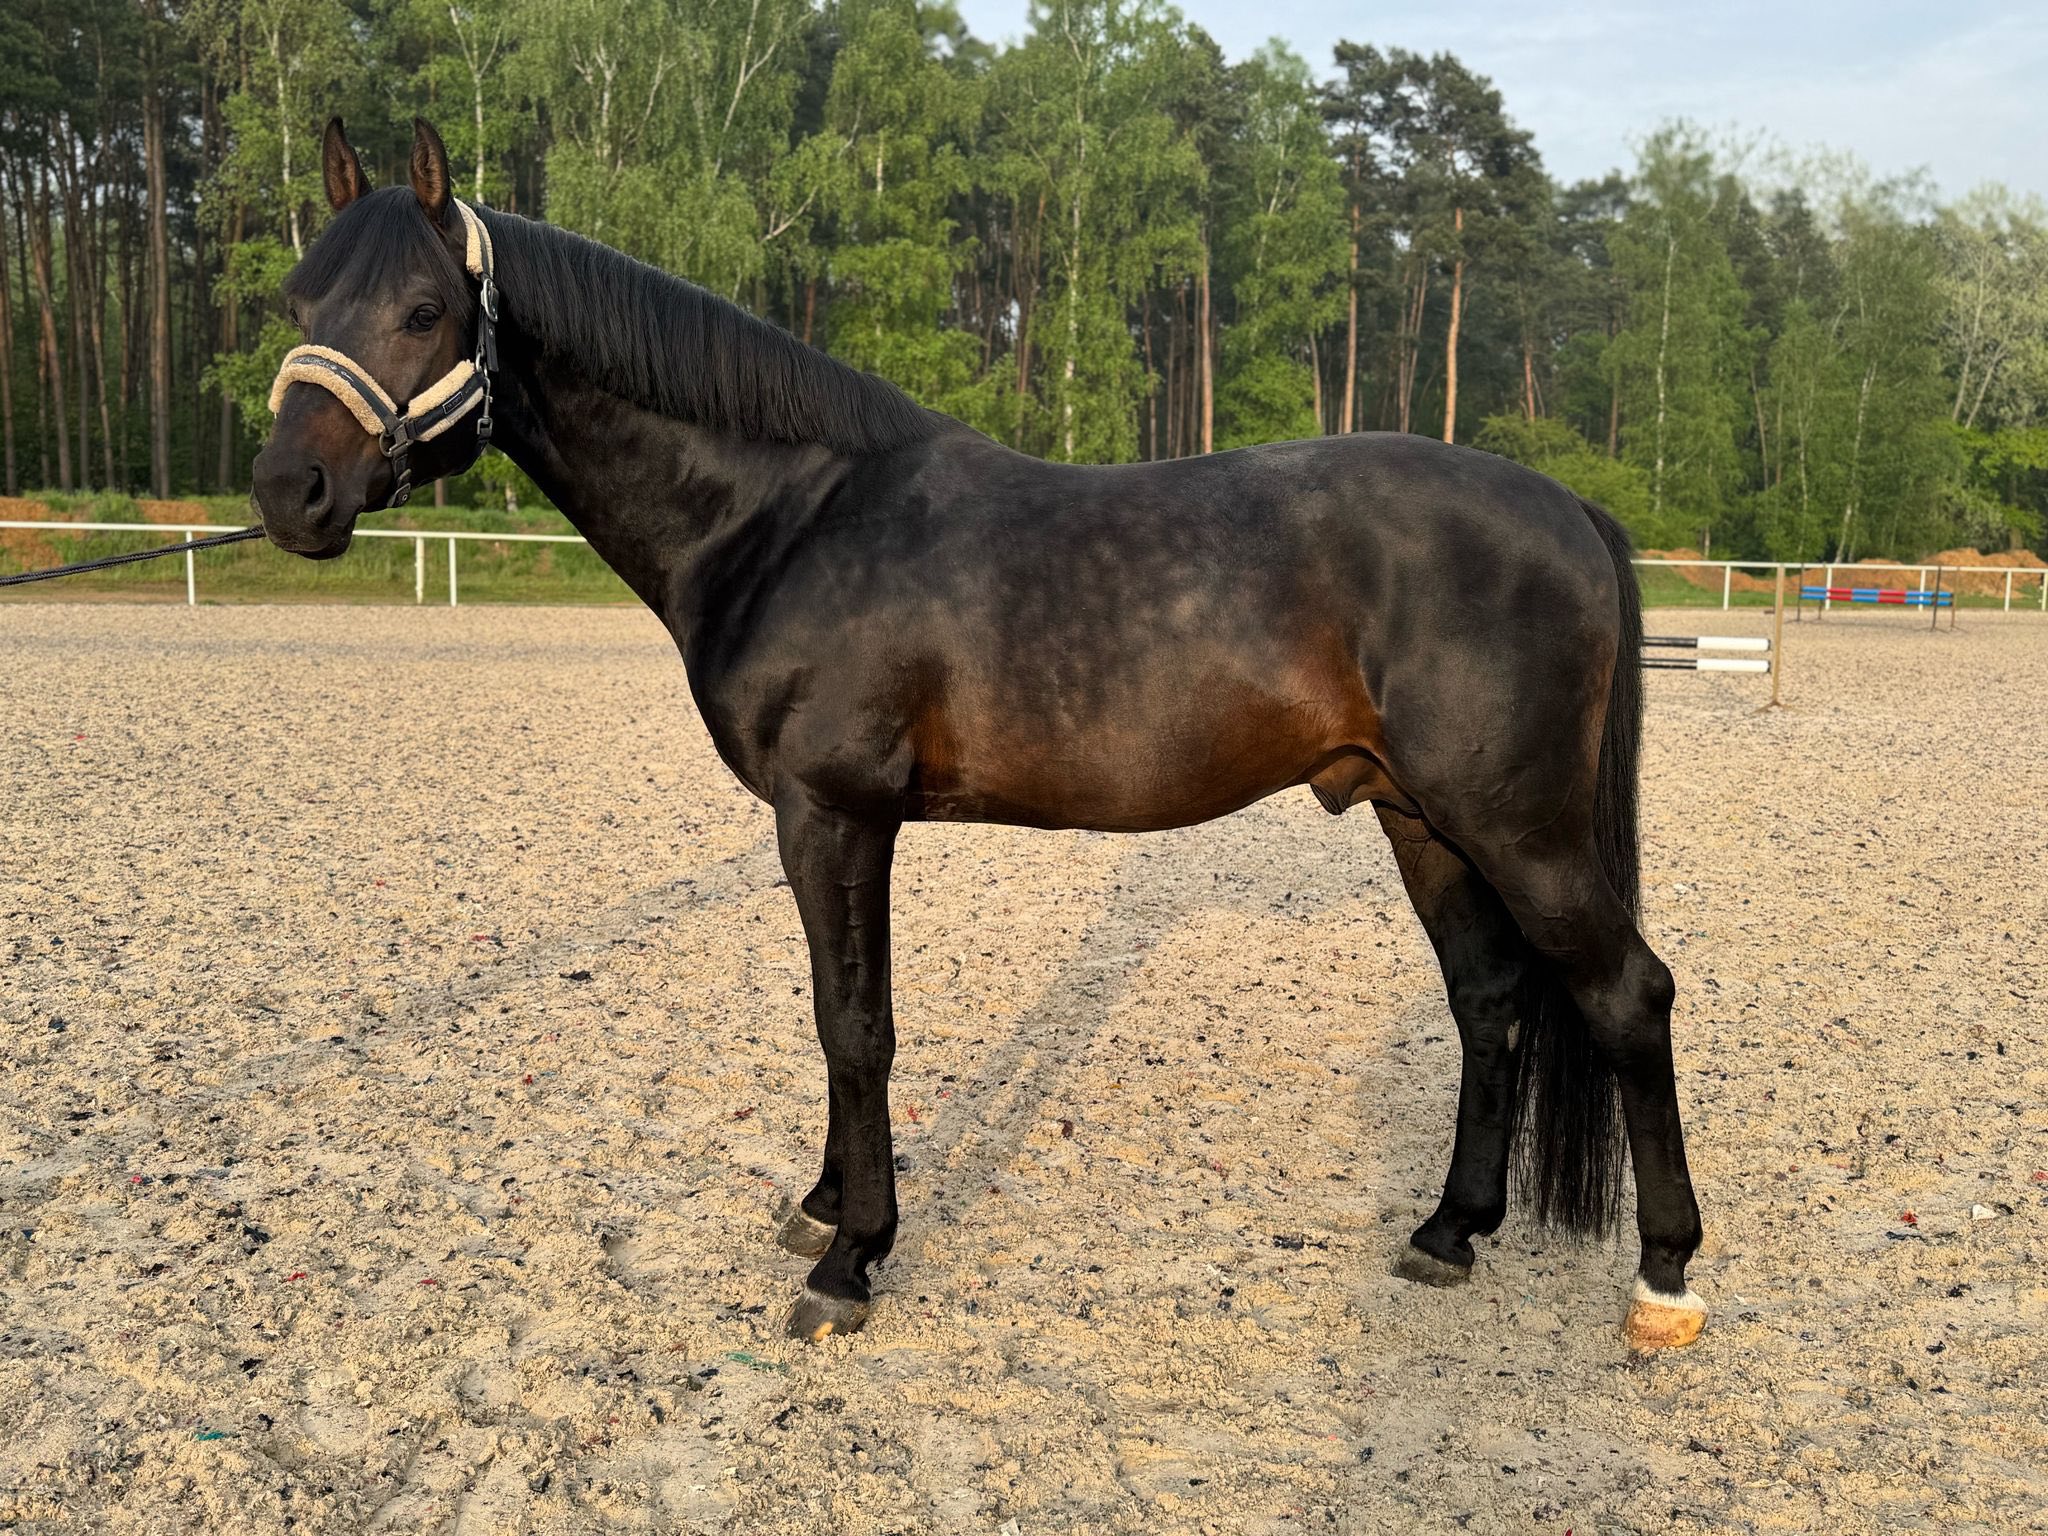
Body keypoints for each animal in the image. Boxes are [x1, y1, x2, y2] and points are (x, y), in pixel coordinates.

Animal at [251, 117, 1705, 1353]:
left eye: (424, 310)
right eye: (300, 305)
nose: (287, 492)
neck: (791, 517)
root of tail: (1569, 507)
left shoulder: (833, 813)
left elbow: (855, 1024)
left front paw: (851, 1261)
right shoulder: (832, 825)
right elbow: (838, 1014)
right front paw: (826, 1209)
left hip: (1519, 827)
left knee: (1627, 995)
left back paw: (1664, 1280)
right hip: (1421, 819)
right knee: (1490, 1000)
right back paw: (1451, 1231)